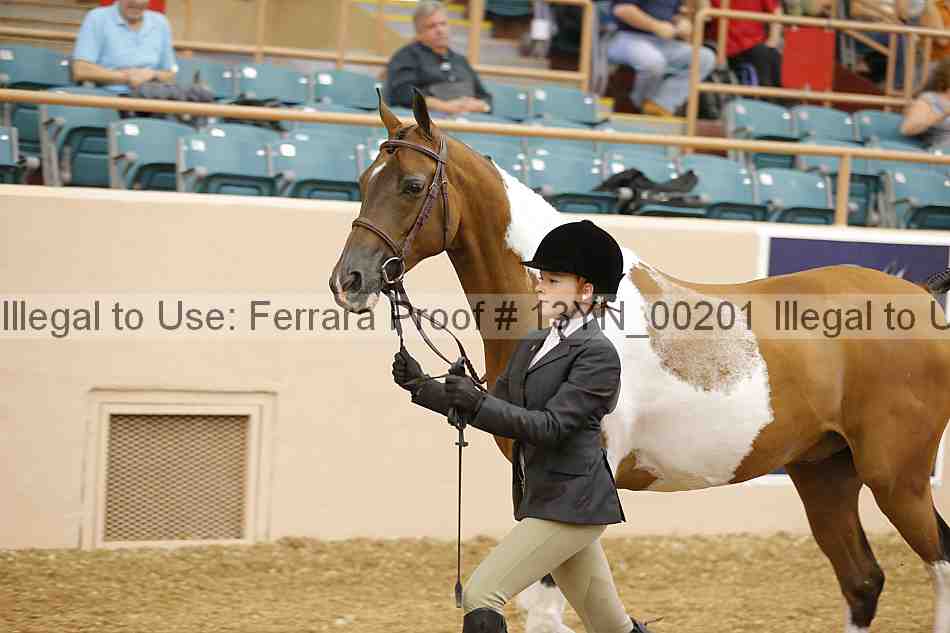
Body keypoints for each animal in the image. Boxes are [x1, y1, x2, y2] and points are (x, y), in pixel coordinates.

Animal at [329, 92, 950, 633]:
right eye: (362, 183)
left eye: (412, 185)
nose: (348, 281)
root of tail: (920, 297)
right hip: (825, 473)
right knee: (862, 581)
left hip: (897, 478)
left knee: (939, 564)